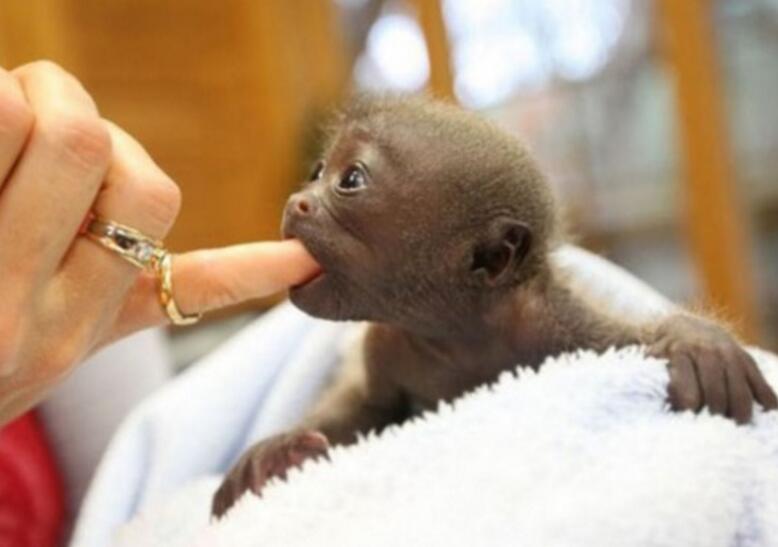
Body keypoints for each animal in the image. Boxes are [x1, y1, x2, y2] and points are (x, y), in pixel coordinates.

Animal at [211, 95, 778, 518]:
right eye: (316, 169)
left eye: (350, 180)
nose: (297, 202)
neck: (459, 331)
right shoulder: (384, 344)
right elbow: (368, 410)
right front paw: (279, 451)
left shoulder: (553, 319)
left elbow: (624, 340)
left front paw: (696, 342)